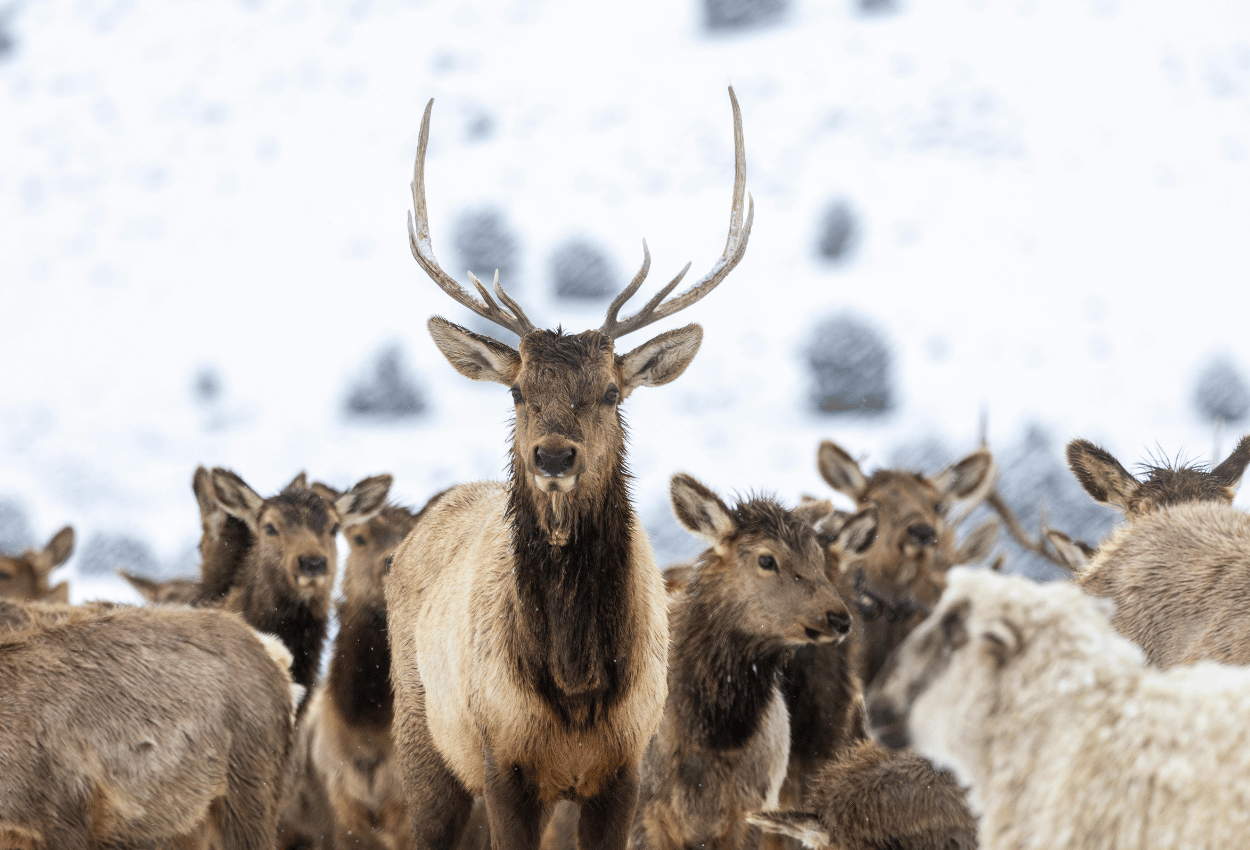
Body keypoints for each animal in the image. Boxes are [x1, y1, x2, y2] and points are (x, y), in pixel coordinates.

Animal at [385, 86, 752, 850]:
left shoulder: (626, 766)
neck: (577, 685)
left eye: (611, 391)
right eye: (519, 391)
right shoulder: (502, 760)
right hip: (423, 742)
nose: (553, 455)